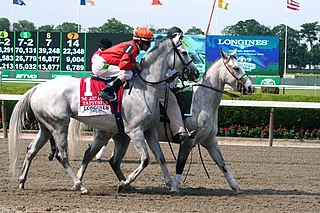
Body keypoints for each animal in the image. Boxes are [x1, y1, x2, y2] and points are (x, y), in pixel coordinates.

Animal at [8, 35, 199, 194]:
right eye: (184, 52)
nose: (195, 72)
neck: (145, 87)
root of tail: (38, 87)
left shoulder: (149, 130)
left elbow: (160, 157)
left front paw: (170, 184)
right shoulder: (134, 131)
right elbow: (145, 159)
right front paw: (124, 183)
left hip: (46, 127)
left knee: (31, 150)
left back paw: (22, 181)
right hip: (59, 125)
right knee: (62, 156)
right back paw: (80, 185)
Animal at [69, 48, 254, 193]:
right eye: (236, 68)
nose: (250, 87)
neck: (202, 101)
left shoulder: (209, 140)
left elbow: (222, 163)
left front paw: (235, 186)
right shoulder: (188, 141)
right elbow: (180, 164)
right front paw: (174, 186)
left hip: (122, 137)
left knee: (112, 161)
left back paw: (124, 184)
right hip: (105, 134)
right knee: (89, 154)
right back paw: (83, 183)